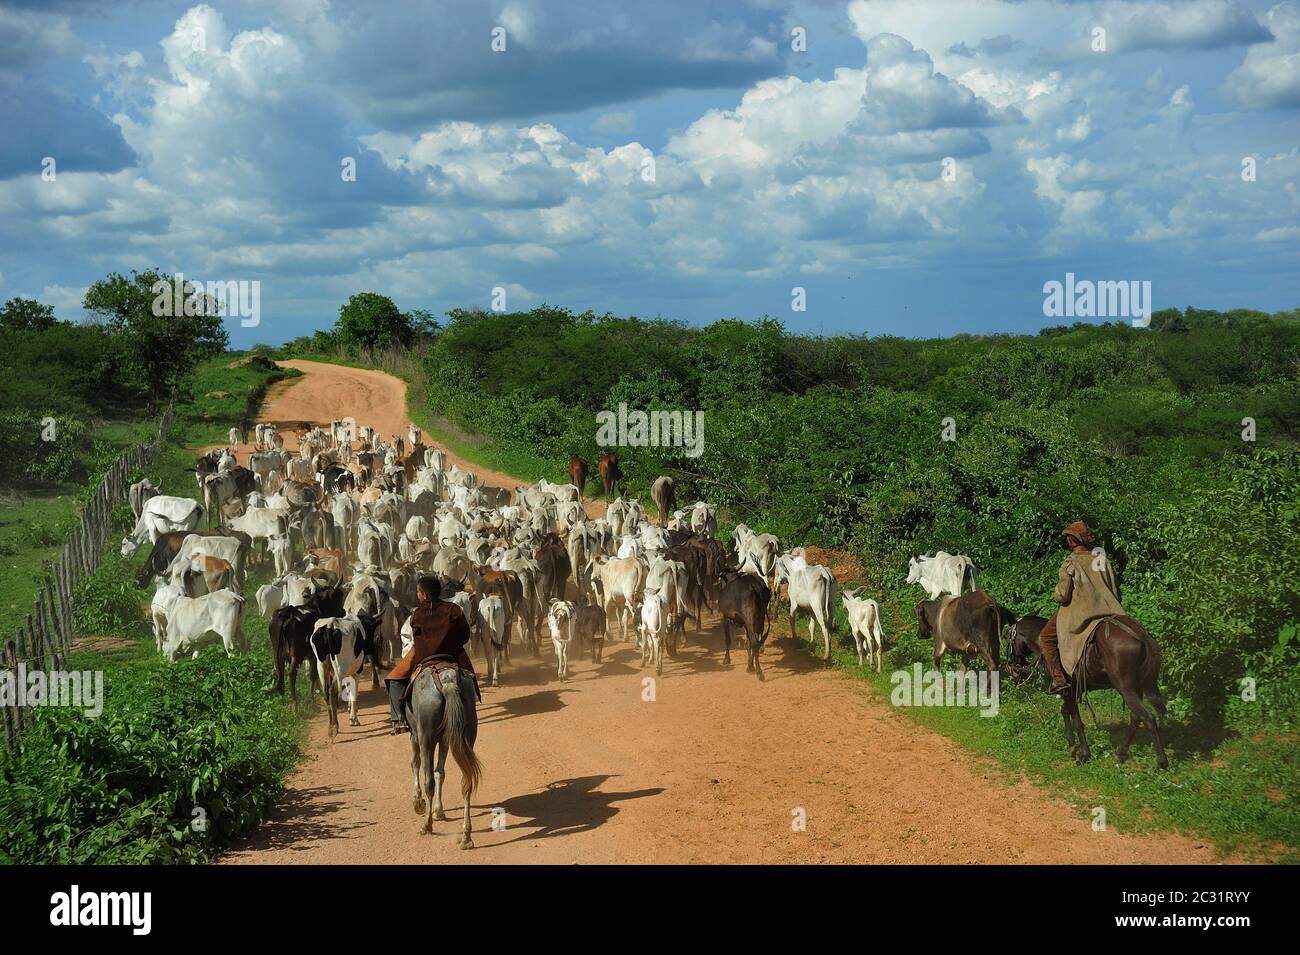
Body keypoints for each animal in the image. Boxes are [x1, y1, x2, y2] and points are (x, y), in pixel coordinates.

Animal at [405, 670, 483, 847]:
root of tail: (448, 679)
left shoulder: (415, 734)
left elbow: (415, 763)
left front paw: (418, 802)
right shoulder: (445, 738)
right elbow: (440, 772)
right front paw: (438, 811)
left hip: (426, 737)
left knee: (429, 782)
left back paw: (426, 826)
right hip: (468, 732)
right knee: (466, 782)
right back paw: (466, 836)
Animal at [1060, 621, 1175, 769]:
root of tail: (1144, 637)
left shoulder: (1069, 688)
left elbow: (1076, 720)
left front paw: (1083, 754)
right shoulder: (1073, 689)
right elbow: (1066, 710)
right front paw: (1072, 743)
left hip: (1126, 689)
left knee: (1148, 718)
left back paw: (1162, 762)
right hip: (1135, 689)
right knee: (1136, 717)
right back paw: (1120, 753)